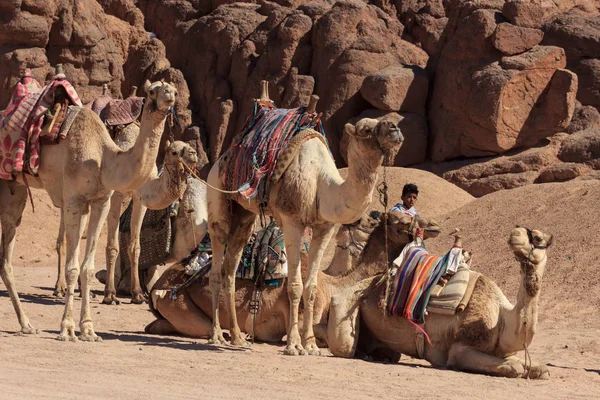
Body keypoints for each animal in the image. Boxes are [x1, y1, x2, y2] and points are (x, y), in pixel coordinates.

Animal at [0, 76, 177, 340]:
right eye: (153, 91)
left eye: (172, 89)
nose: (170, 95)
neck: (104, 157)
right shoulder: (74, 199)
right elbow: (73, 267)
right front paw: (67, 328)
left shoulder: (100, 200)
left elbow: (88, 267)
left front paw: (88, 329)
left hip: (15, 189)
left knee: (7, 255)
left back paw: (27, 325)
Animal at [205, 83, 404, 354]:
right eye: (365, 128)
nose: (395, 128)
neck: (322, 184)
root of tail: (221, 158)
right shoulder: (292, 221)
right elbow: (295, 285)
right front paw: (294, 345)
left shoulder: (325, 228)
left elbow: (311, 288)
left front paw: (310, 345)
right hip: (217, 198)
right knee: (217, 261)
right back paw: (216, 335)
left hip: (244, 216)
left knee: (231, 267)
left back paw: (236, 336)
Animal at [328, 227, 552, 380]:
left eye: (537, 237)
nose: (516, 233)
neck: (501, 318)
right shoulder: (459, 350)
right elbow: (515, 368)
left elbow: (541, 369)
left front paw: (537, 369)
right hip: (346, 305)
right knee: (345, 345)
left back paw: (380, 356)